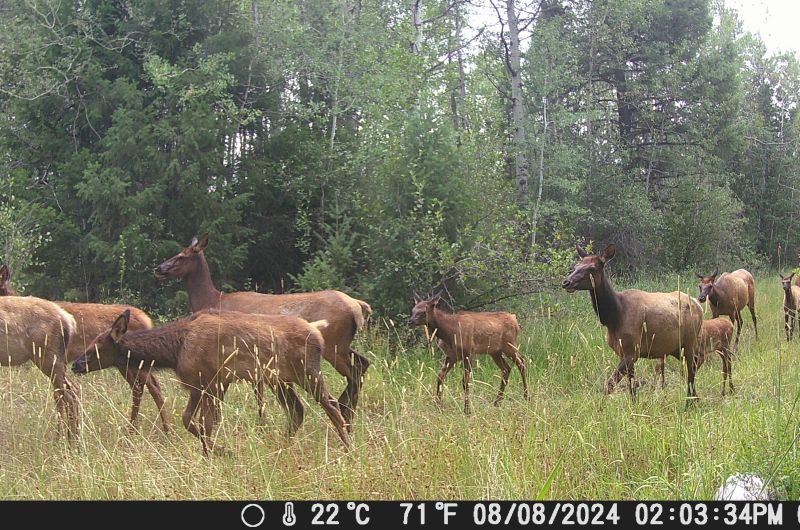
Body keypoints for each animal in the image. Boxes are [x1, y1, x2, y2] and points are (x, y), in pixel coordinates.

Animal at [0, 295, 80, 437]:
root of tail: (69, 321)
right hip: (58, 360)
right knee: (67, 392)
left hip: (48, 357)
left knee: (67, 394)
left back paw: (65, 439)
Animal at [72, 309, 350, 455]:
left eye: (97, 346)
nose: (75, 364)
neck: (174, 351)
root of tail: (317, 330)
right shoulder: (210, 386)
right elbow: (200, 422)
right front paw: (213, 451)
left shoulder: (206, 382)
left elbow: (196, 422)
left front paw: (218, 451)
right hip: (280, 379)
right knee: (297, 410)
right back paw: (282, 447)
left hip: (307, 372)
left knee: (332, 405)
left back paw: (348, 448)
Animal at [154, 234, 371, 429]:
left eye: (181, 256)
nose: (158, 268)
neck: (214, 300)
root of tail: (358, 306)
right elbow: (258, 393)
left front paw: (258, 424)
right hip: (342, 345)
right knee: (363, 363)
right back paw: (347, 413)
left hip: (333, 345)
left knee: (354, 372)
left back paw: (345, 413)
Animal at [561, 244, 704, 400]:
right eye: (576, 266)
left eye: (592, 268)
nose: (566, 282)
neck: (614, 317)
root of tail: (699, 306)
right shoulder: (623, 352)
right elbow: (631, 387)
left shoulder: (632, 350)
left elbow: (609, 386)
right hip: (675, 348)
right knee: (695, 363)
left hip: (689, 342)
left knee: (692, 369)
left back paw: (690, 400)